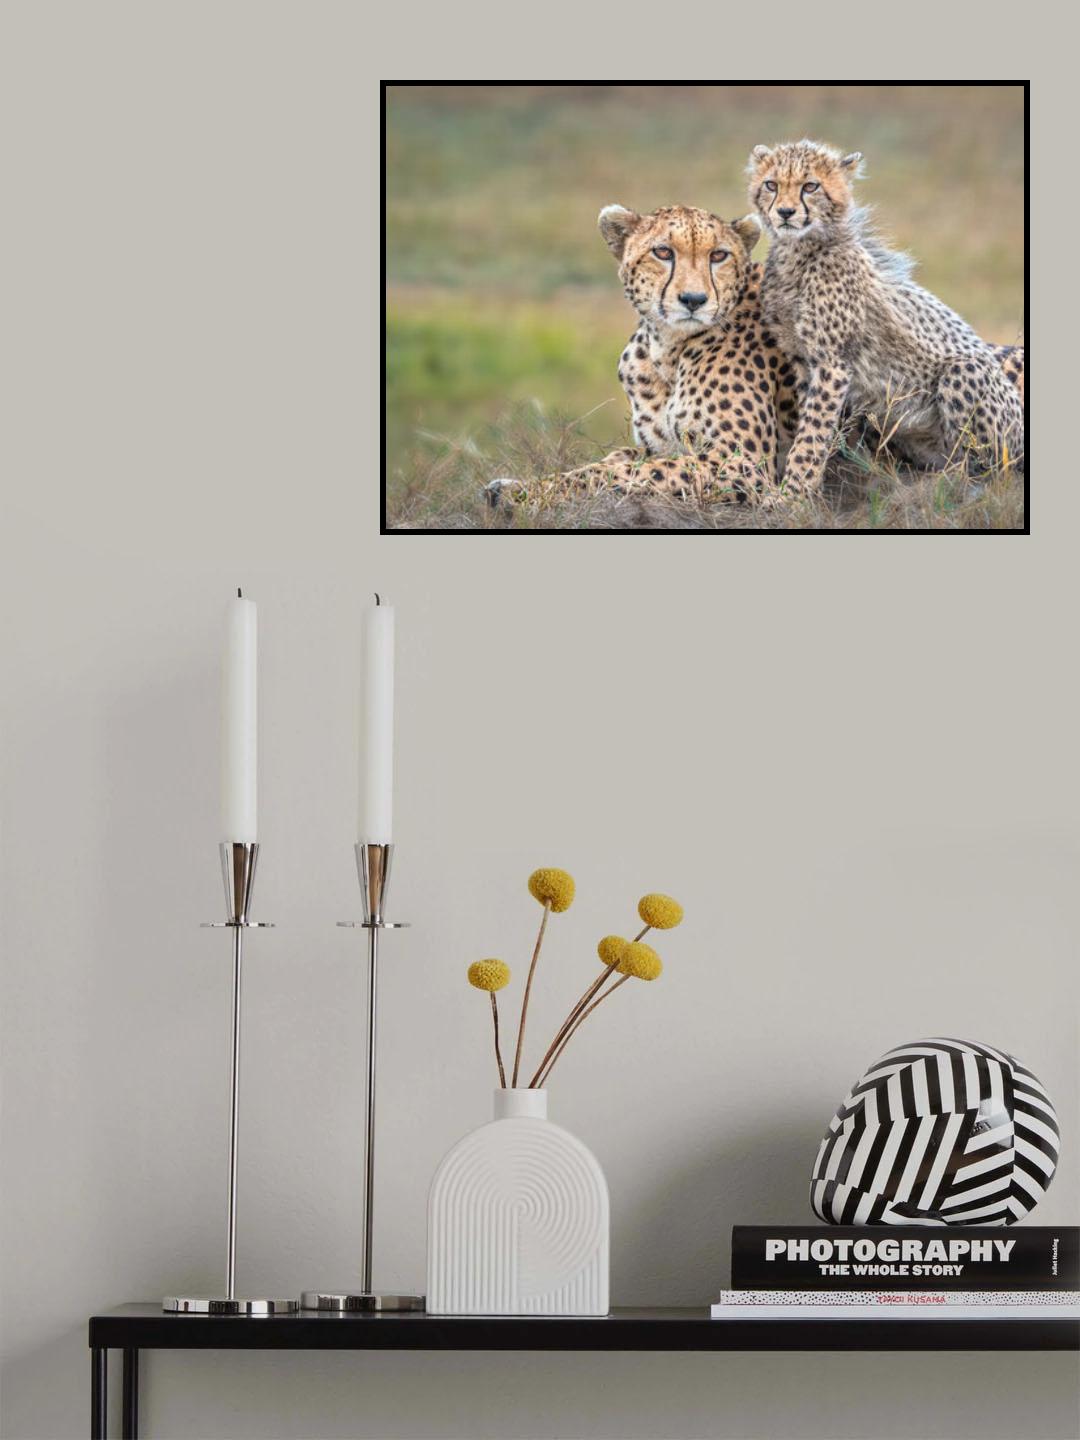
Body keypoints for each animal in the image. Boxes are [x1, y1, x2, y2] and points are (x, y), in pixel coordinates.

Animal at [486, 203, 801, 516]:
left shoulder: (742, 462)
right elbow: (616, 459)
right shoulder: (661, 447)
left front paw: (526, 494)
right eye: (662, 252)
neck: (667, 349)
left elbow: (631, 472)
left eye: (718, 255)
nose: (694, 299)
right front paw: (516, 486)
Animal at [746, 139, 1025, 496]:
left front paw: (792, 494)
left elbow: (812, 434)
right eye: (772, 185)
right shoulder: (802, 360)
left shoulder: (831, 364)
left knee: (992, 470)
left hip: (967, 375)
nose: (784, 212)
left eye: (810, 186)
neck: (800, 251)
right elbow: (809, 426)